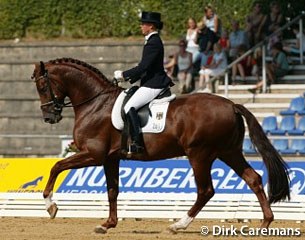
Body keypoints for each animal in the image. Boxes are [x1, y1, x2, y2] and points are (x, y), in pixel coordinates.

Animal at [32, 57, 288, 232]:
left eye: (43, 87)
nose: (49, 117)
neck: (96, 103)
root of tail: (232, 104)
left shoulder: (93, 154)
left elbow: (56, 167)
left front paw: (50, 206)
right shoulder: (109, 158)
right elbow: (112, 190)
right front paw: (108, 224)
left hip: (200, 154)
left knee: (206, 190)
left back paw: (179, 225)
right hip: (229, 152)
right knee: (253, 179)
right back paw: (265, 222)